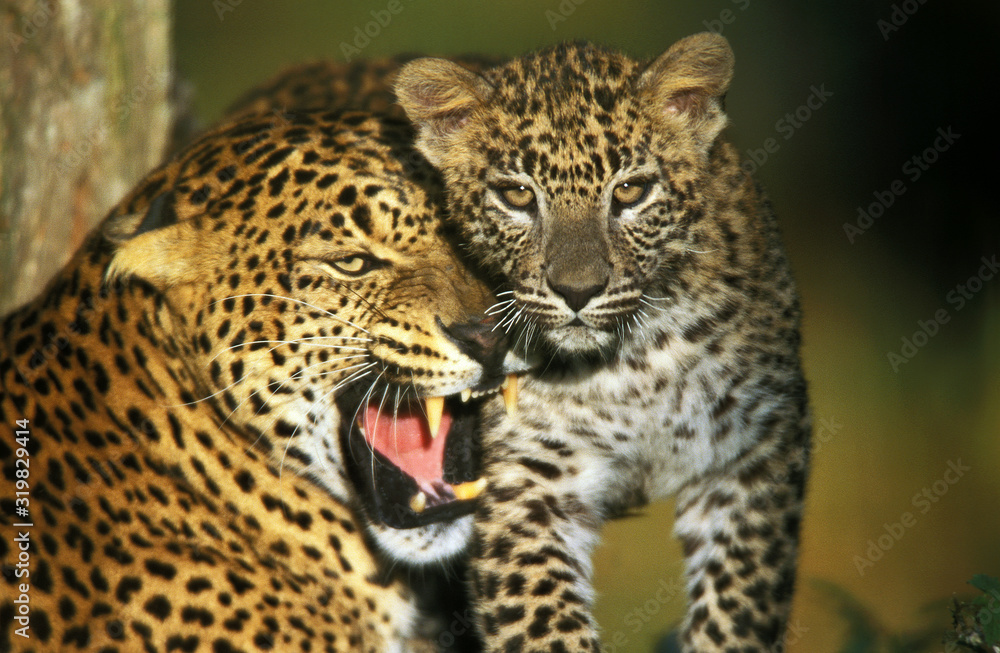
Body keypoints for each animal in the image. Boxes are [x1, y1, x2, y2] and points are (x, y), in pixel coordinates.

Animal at [395, 32, 811, 652]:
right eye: (517, 196)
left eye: (632, 191)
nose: (577, 290)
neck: (633, 365)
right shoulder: (527, 478)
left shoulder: (757, 448)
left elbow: (738, 606)